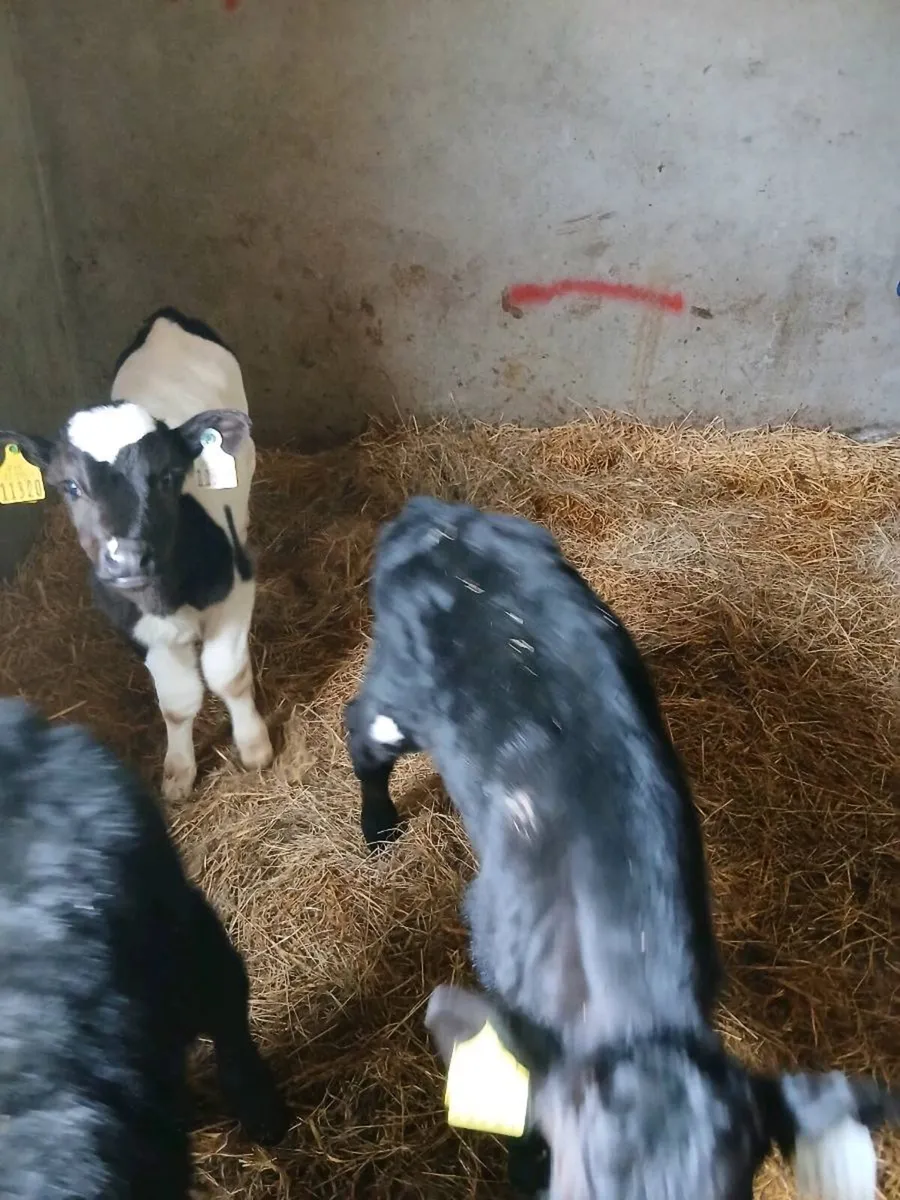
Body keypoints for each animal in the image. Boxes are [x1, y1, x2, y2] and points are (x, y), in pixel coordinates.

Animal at [1, 307, 273, 802]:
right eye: (70, 486)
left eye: (167, 476)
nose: (125, 559)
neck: (167, 596)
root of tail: (166, 317)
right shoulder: (132, 622)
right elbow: (178, 703)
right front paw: (179, 770)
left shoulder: (236, 588)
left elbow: (228, 675)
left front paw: (254, 745)